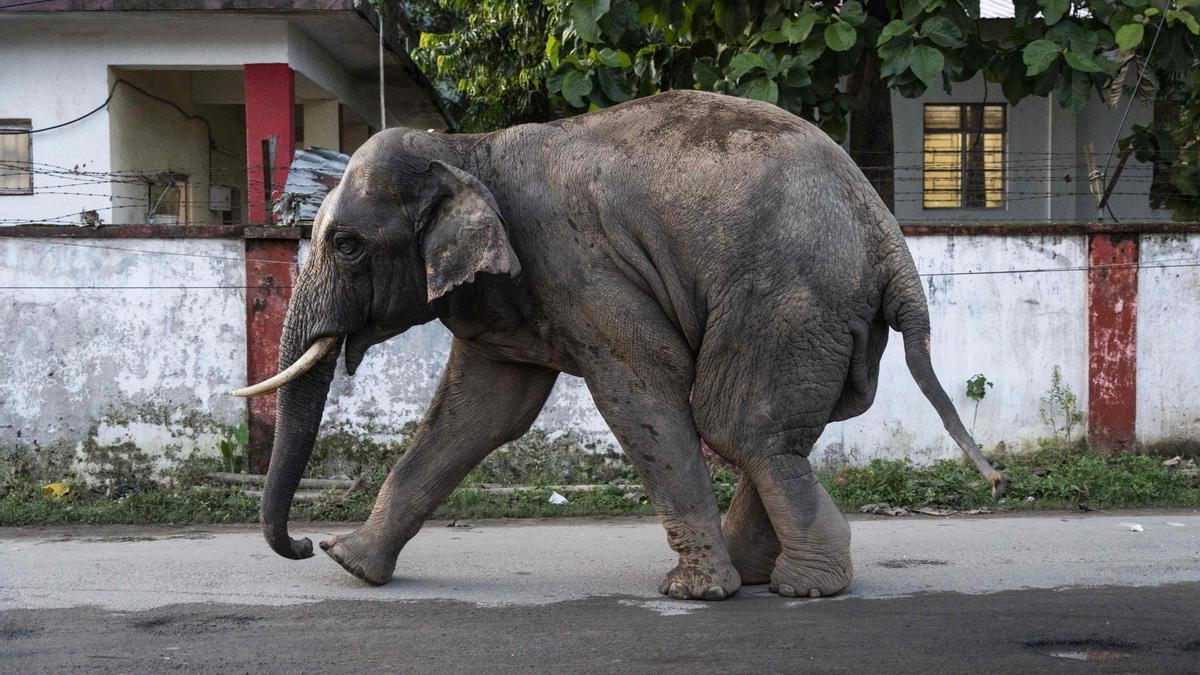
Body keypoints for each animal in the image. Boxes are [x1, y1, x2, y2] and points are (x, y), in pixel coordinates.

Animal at [233, 90, 1006, 601]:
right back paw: (768, 574)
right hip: (833, 319)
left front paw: (694, 593)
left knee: (738, 424)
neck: (466, 149)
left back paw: (801, 586)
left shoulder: (579, 266)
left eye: (347, 244)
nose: (301, 544)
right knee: (781, 433)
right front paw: (351, 566)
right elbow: (484, 410)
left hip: (789, 298)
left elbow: (639, 389)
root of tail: (886, 232)